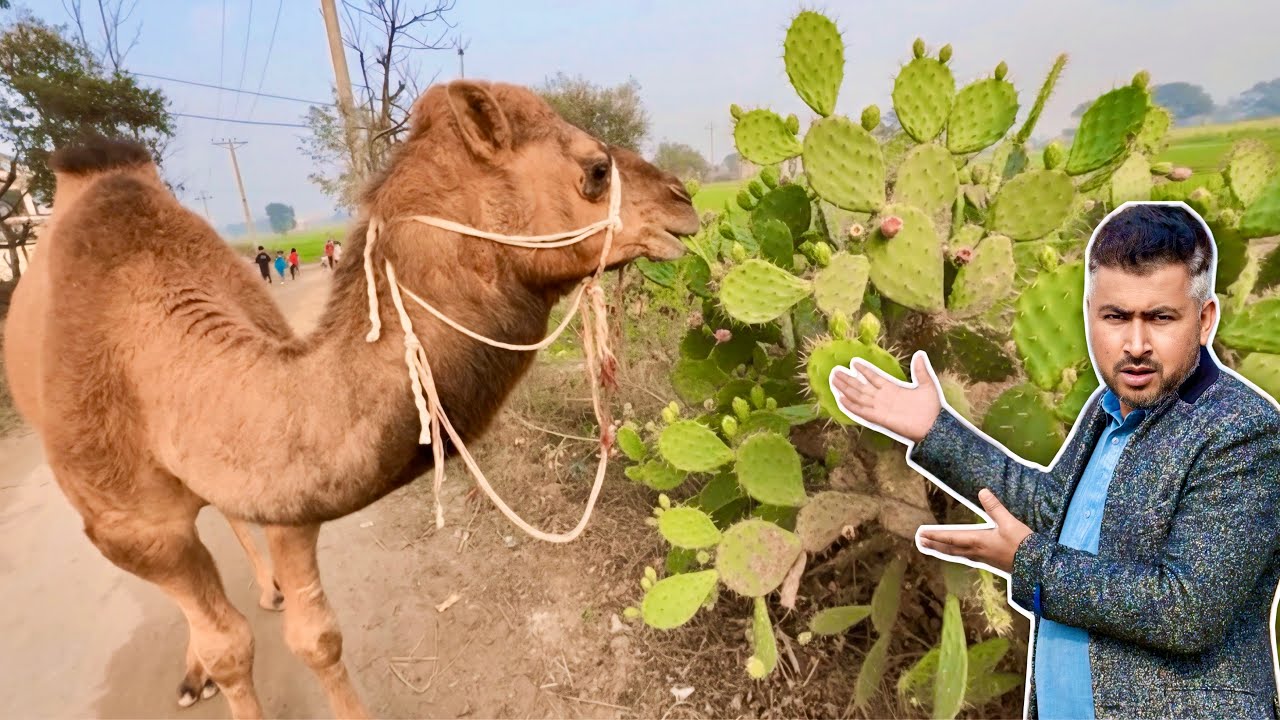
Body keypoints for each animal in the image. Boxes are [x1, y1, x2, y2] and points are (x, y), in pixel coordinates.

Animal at [2, 79, 700, 719]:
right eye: (596, 170)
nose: (685, 199)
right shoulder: (130, 529)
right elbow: (230, 648)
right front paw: (210, 667)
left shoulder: (288, 494)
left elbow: (317, 636)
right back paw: (195, 668)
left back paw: (265, 590)